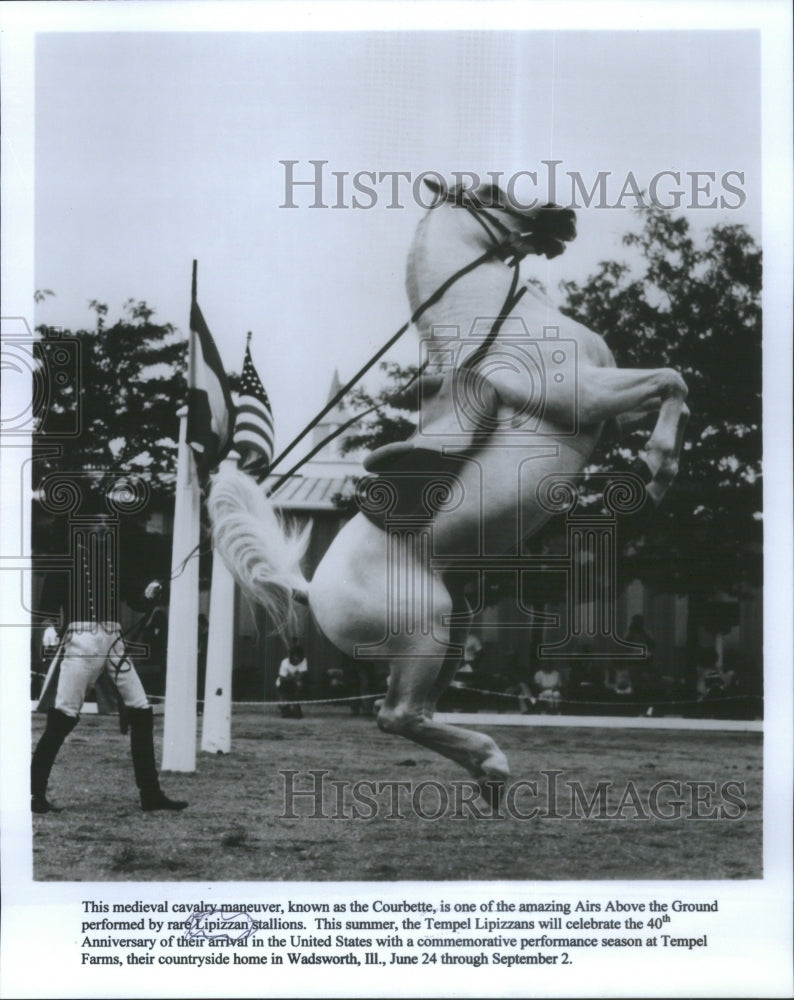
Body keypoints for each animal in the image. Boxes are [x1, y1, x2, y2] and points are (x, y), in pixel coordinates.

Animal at [209, 180, 688, 804]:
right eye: (490, 193)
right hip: (425, 638)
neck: (502, 324)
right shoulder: (583, 395)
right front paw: (657, 470)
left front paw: (657, 462)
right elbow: (672, 379)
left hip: (452, 638)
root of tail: (310, 590)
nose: (565, 217)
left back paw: (488, 771)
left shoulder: (611, 410)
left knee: (421, 714)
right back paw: (491, 762)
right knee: (397, 716)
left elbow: (670, 387)